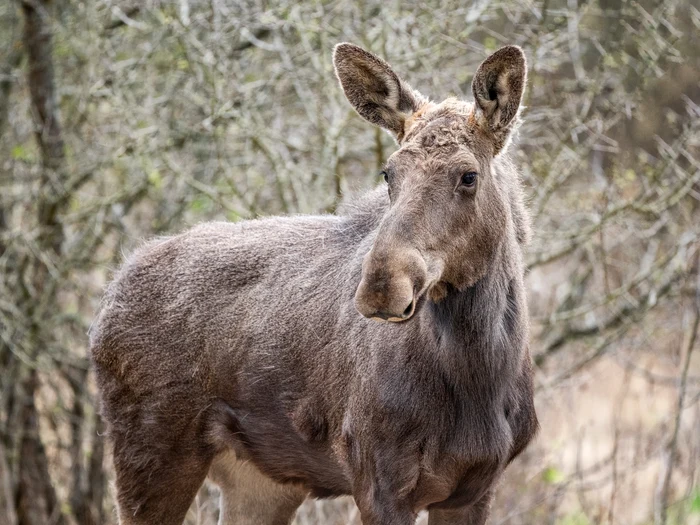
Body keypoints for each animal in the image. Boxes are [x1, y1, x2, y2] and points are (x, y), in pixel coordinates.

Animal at [89, 43, 538, 525]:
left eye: (468, 175)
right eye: (388, 173)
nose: (381, 285)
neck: (481, 374)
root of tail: (105, 307)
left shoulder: (476, 488)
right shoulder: (377, 477)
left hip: (260, 480)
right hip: (150, 451)